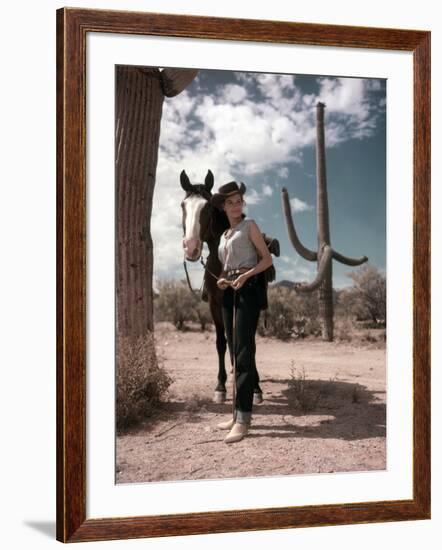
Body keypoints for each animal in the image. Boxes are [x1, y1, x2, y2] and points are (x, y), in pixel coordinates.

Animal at [180, 169, 262, 406]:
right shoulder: (216, 306)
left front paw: (255, 388)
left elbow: (248, 342)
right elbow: (221, 342)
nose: (191, 248)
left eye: (207, 207)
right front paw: (220, 387)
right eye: (183, 205)